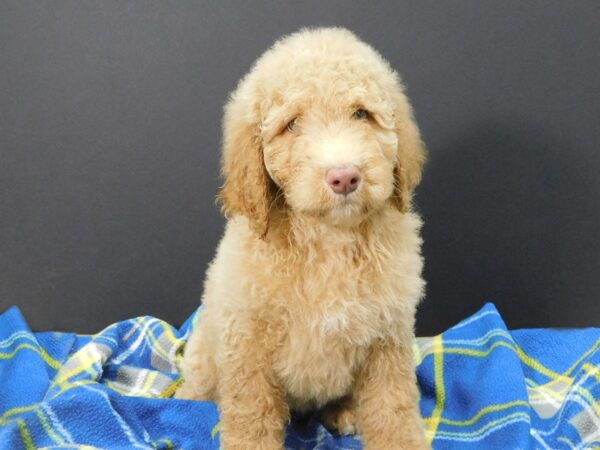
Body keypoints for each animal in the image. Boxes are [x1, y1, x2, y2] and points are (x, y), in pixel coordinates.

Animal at [176, 28, 428, 450]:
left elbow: (392, 406)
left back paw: (344, 412)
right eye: (292, 125)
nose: (344, 176)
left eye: (362, 114)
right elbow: (251, 413)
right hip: (206, 350)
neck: (328, 238)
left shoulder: (387, 336)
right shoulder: (248, 340)